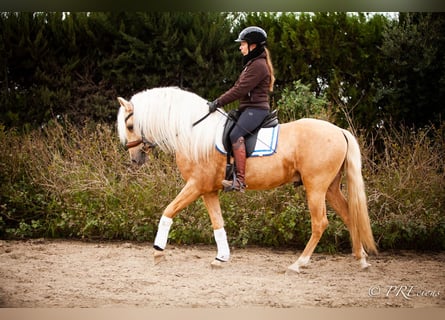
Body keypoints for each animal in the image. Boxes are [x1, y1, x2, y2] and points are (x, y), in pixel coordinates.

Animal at [117, 86, 374, 272]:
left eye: (130, 125)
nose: (134, 158)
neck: (192, 132)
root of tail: (339, 131)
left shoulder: (195, 186)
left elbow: (168, 211)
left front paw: (158, 251)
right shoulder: (208, 190)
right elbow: (218, 223)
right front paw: (221, 258)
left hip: (316, 188)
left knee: (320, 223)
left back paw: (298, 264)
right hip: (330, 188)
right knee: (350, 215)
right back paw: (361, 260)